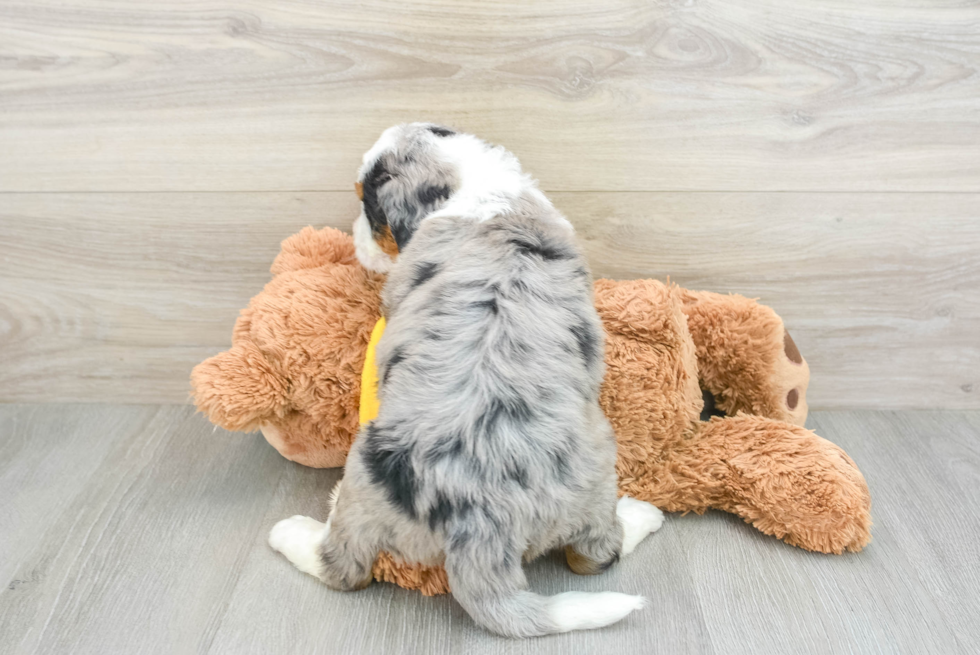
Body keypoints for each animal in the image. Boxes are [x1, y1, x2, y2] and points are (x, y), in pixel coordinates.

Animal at [270, 124, 668, 640]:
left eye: (367, 205)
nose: (354, 238)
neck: (477, 184)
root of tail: (478, 522)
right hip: (593, 466)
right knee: (595, 556)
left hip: (369, 487)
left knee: (344, 567)